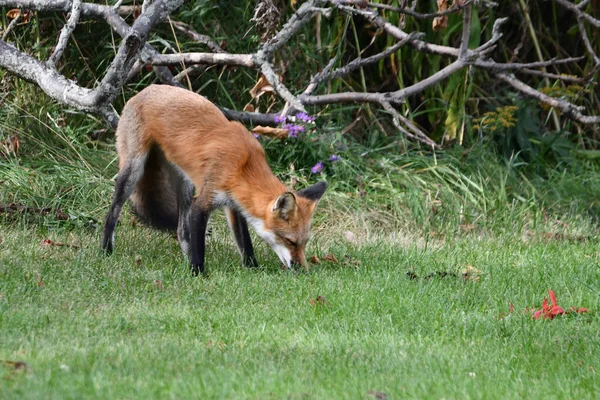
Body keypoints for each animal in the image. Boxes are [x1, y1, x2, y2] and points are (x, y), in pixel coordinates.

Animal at [102, 84, 328, 276]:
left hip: (185, 184)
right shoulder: (203, 202)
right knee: (111, 213)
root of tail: (145, 90)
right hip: (134, 170)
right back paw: (105, 251)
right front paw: (197, 273)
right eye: (291, 242)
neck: (244, 166)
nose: (304, 271)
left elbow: (245, 243)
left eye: (304, 243)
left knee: (181, 231)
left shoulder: (234, 204)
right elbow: (200, 246)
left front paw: (253, 269)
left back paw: (184, 258)